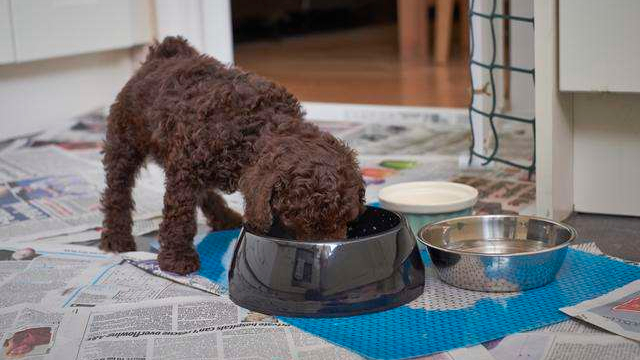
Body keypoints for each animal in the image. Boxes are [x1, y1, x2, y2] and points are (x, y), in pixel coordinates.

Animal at [102, 36, 368, 274]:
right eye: (300, 223)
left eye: (347, 219)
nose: (331, 258)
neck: (257, 127)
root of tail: (163, 54)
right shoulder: (185, 170)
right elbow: (180, 215)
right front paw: (177, 258)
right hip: (125, 140)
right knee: (117, 190)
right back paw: (116, 237)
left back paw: (224, 217)